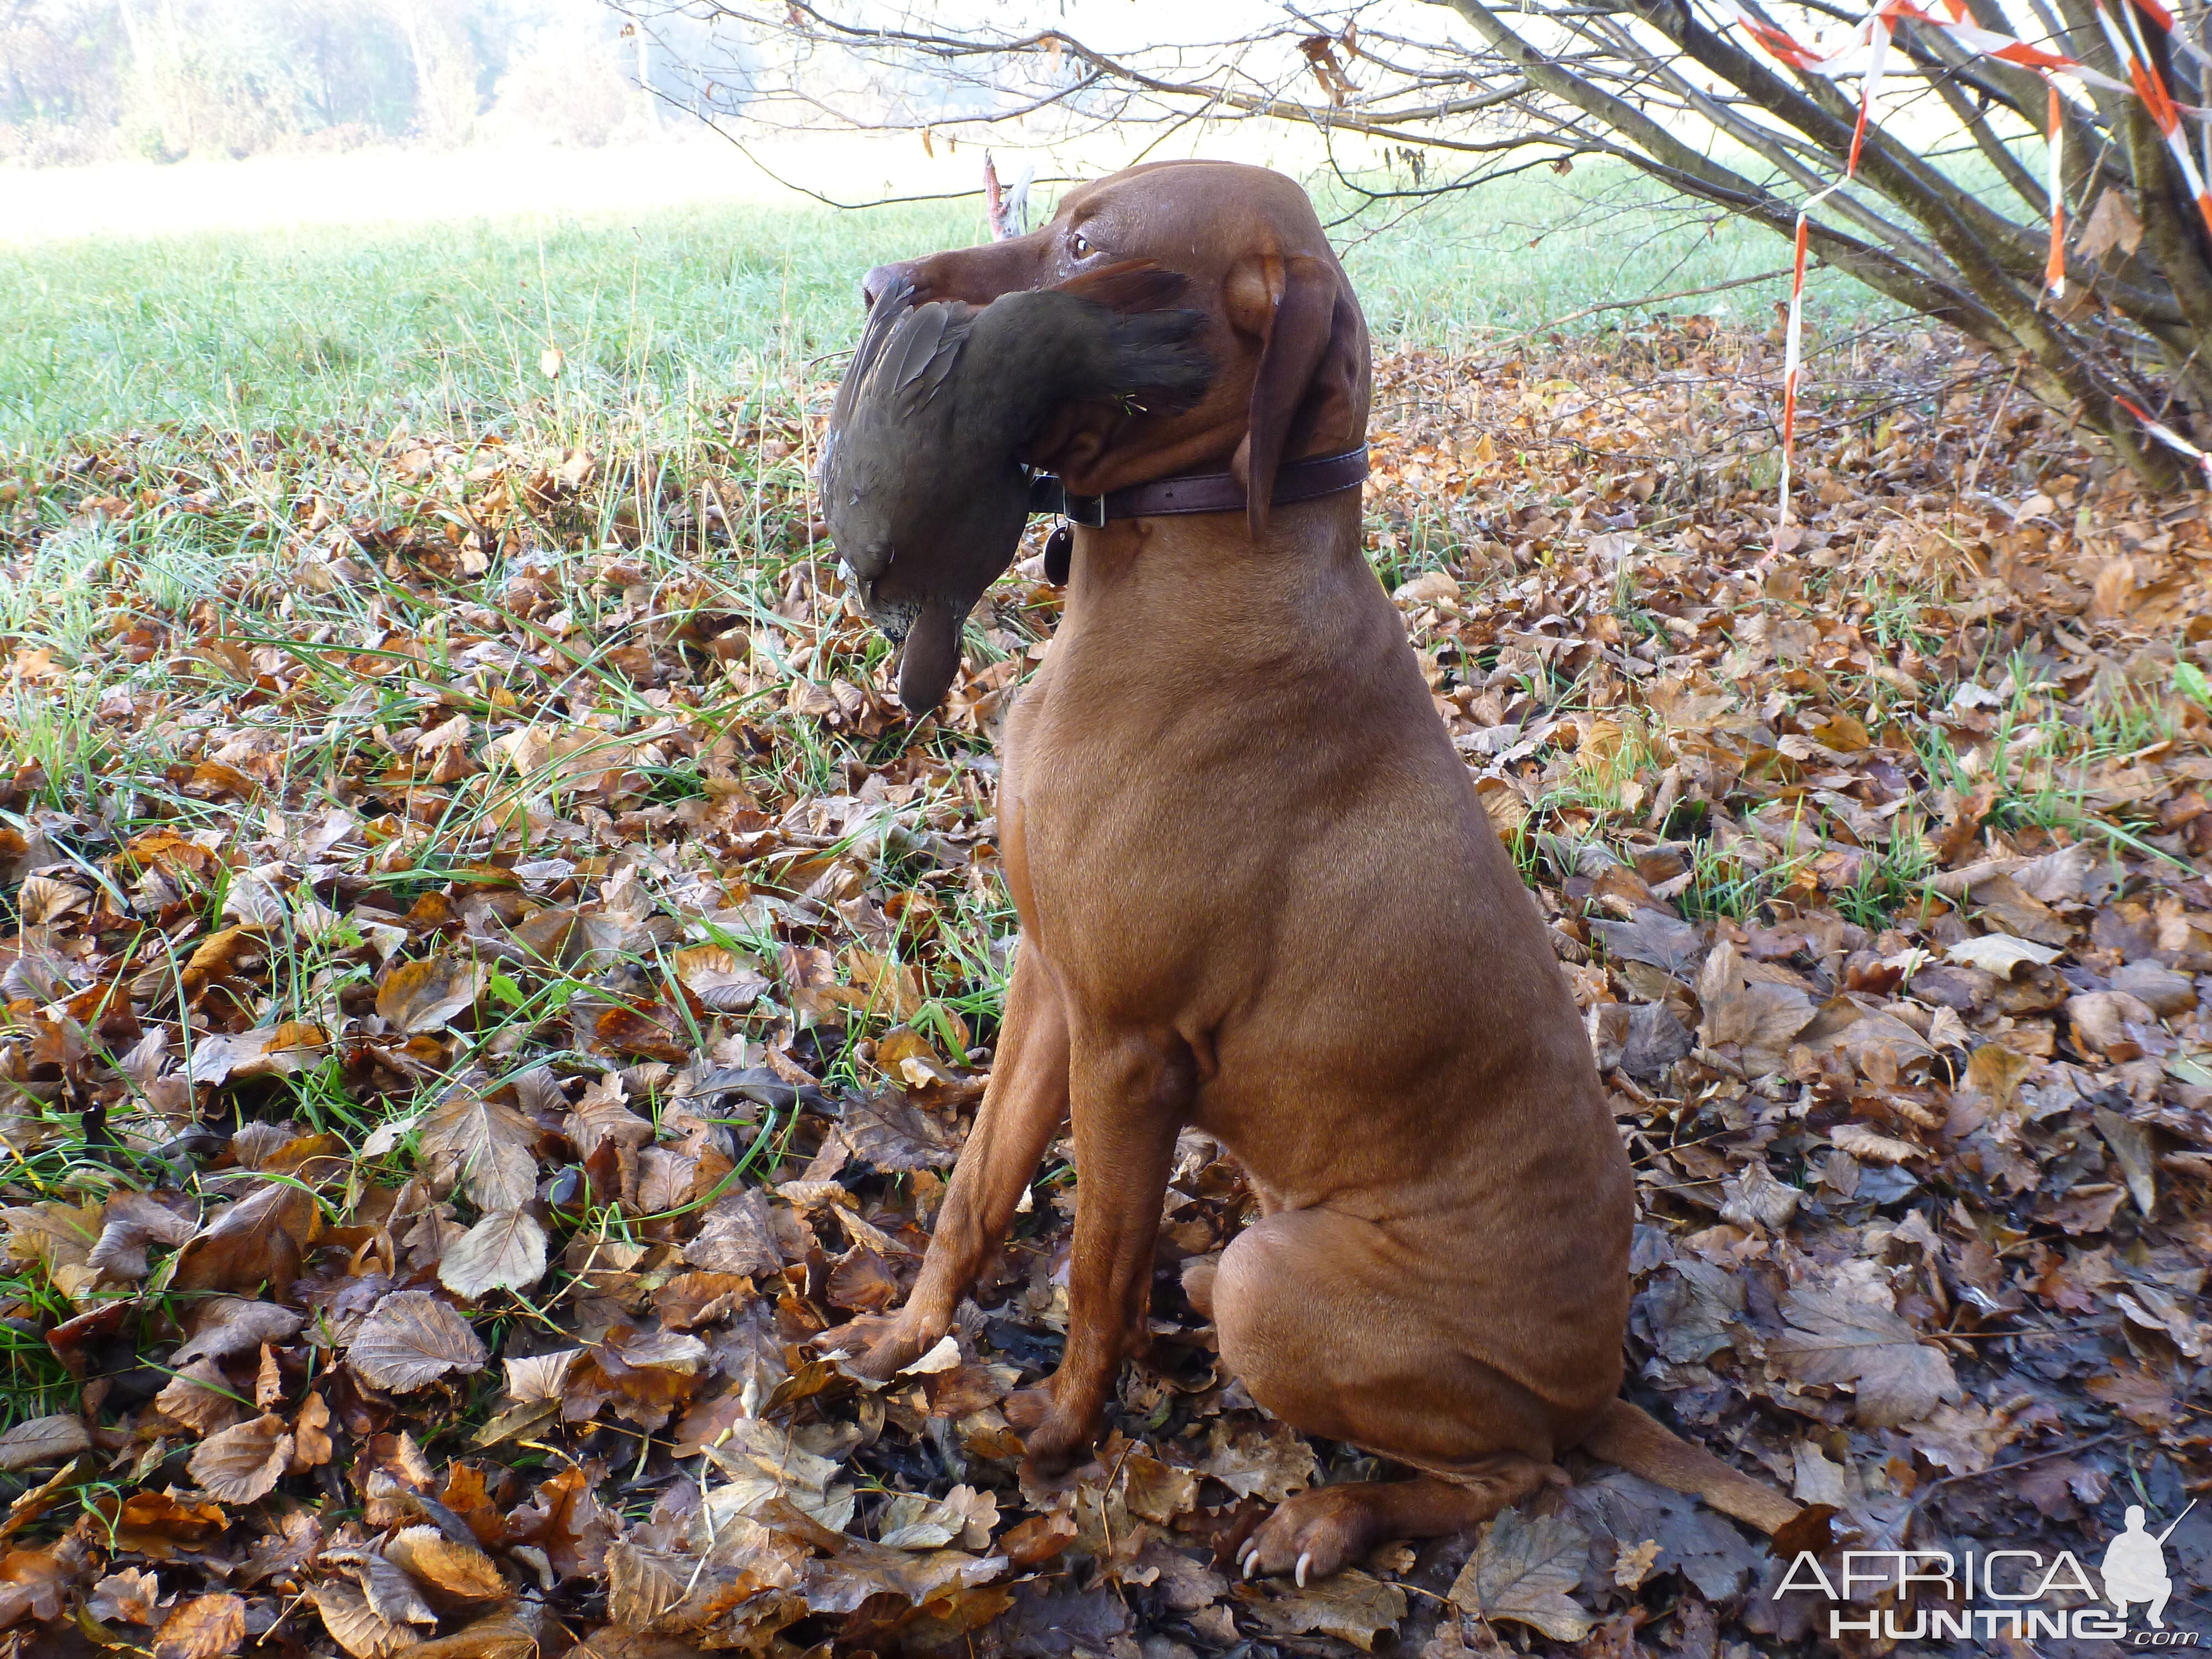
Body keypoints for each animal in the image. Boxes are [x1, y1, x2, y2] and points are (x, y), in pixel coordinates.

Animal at [827, 163, 1796, 1593]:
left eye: (1088, 244)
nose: (878, 286)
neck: (1201, 565)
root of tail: (1596, 1388)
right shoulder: (1050, 985)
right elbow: (972, 1194)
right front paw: (907, 1342)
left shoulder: (1127, 1045)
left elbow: (1094, 1267)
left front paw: (1060, 1433)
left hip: (1275, 1281)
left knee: (1514, 1473)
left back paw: (1332, 1517)